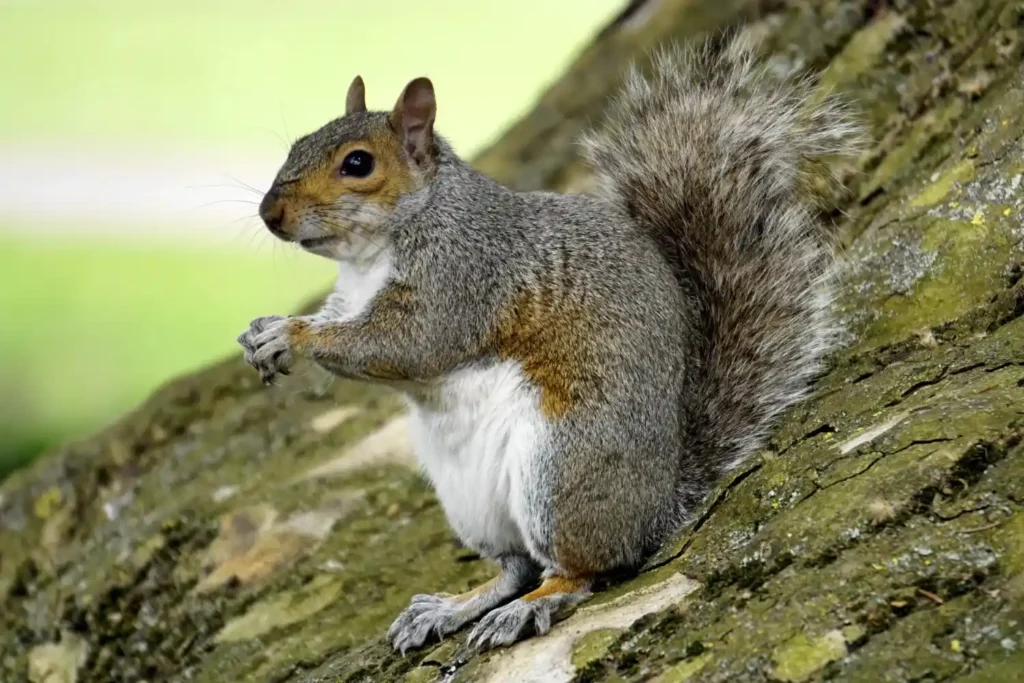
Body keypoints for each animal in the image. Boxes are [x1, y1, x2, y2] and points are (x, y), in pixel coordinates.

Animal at [238, 35, 862, 653]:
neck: (376, 250)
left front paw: (292, 336)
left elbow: (406, 345)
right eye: (298, 144)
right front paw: (264, 331)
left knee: (581, 570)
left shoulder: (462, 278)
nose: (270, 213)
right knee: (516, 567)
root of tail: (658, 507)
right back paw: (454, 607)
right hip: (472, 502)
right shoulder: (351, 298)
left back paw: (530, 607)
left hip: (560, 470)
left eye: (358, 163)